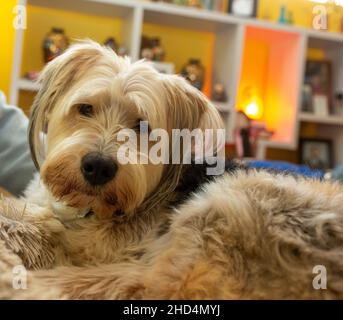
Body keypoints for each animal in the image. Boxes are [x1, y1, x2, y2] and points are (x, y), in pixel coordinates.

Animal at [0, 41, 343, 298]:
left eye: (142, 126)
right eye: (85, 109)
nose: (98, 167)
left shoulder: (99, 247)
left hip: (220, 208)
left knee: (141, 282)